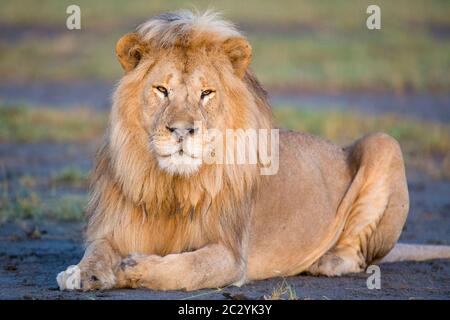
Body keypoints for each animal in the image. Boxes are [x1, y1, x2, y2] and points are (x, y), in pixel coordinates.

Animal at [57, 10, 450, 292]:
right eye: (161, 90)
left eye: (206, 93)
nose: (182, 130)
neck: (171, 187)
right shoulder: (111, 229)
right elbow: (97, 251)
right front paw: (81, 273)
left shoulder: (231, 254)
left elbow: (187, 269)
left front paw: (132, 268)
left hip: (384, 142)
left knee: (359, 254)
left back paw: (326, 261)